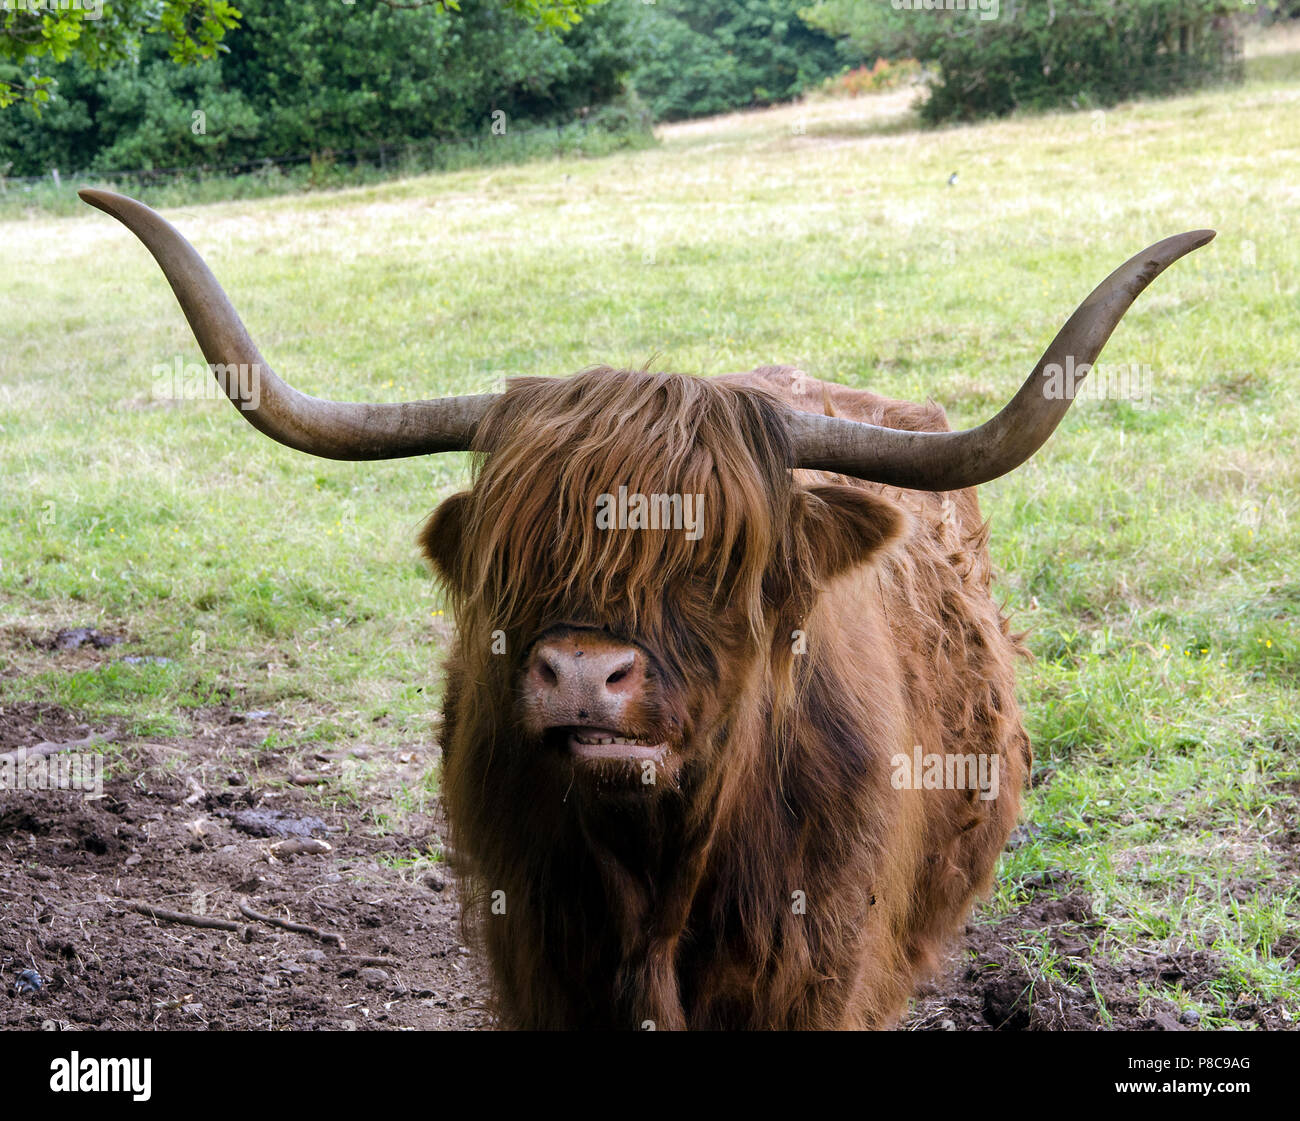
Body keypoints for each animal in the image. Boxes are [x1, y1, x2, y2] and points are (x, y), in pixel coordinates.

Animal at [80, 189, 1212, 1029]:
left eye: (717, 559)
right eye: (519, 555)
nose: (582, 673)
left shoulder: (818, 975)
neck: (656, 877)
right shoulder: (536, 959)